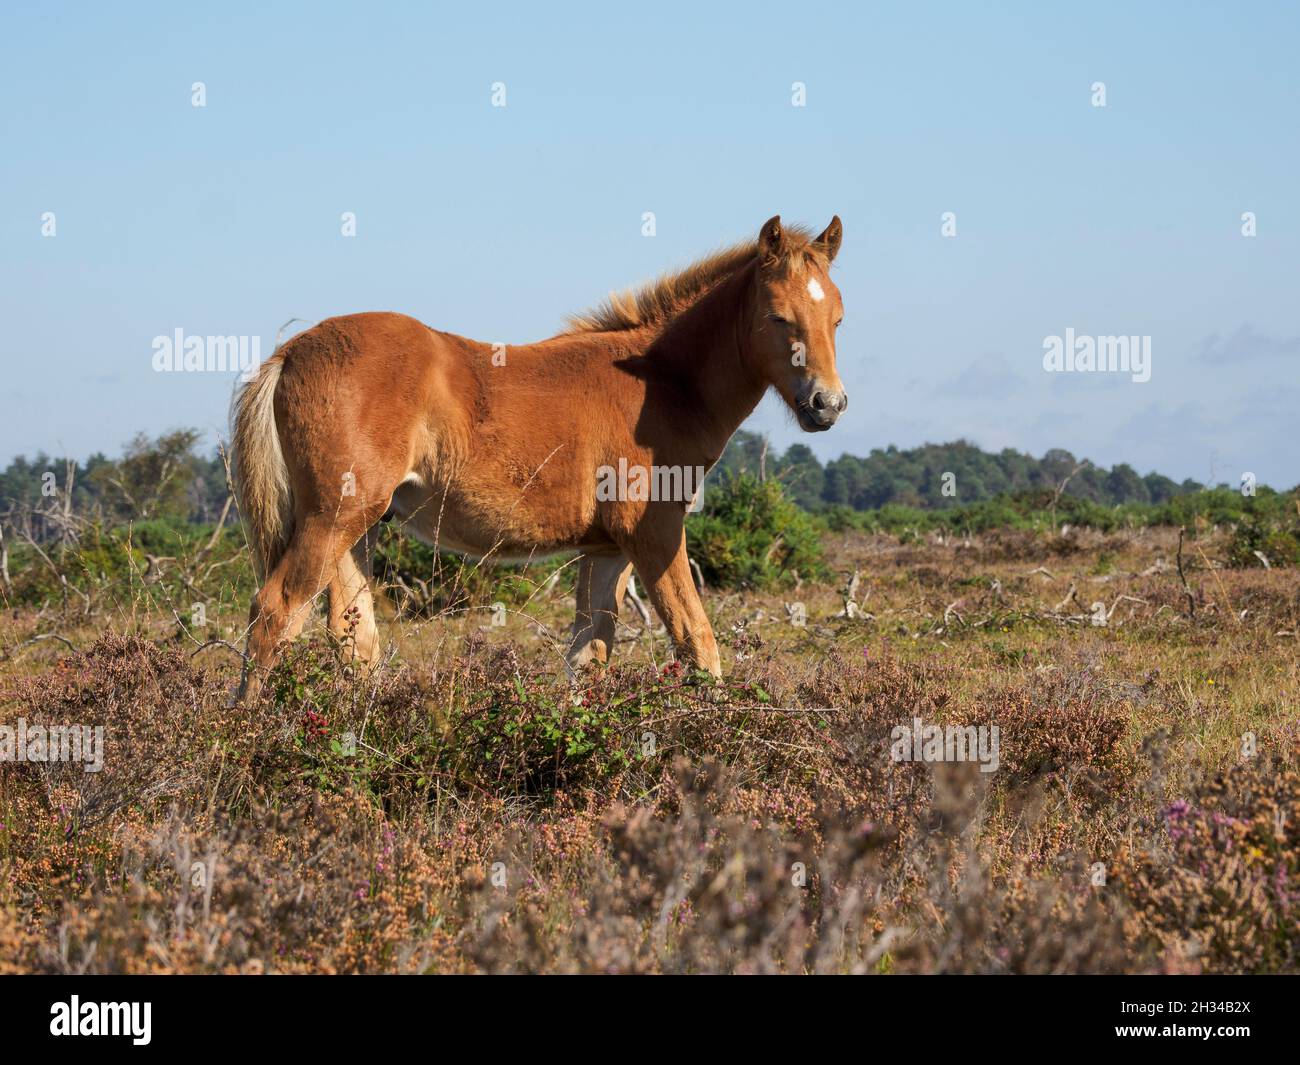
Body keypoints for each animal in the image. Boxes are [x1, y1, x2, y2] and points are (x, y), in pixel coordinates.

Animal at [233, 215, 847, 702]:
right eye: (777, 316)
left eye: (838, 317)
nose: (828, 404)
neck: (662, 383)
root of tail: (290, 353)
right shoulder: (654, 531)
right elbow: (696, 640)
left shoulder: (607, 549)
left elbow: (588, 658)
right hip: (334, 516)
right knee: (275, 610)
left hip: (355, 524)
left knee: (351, 633)